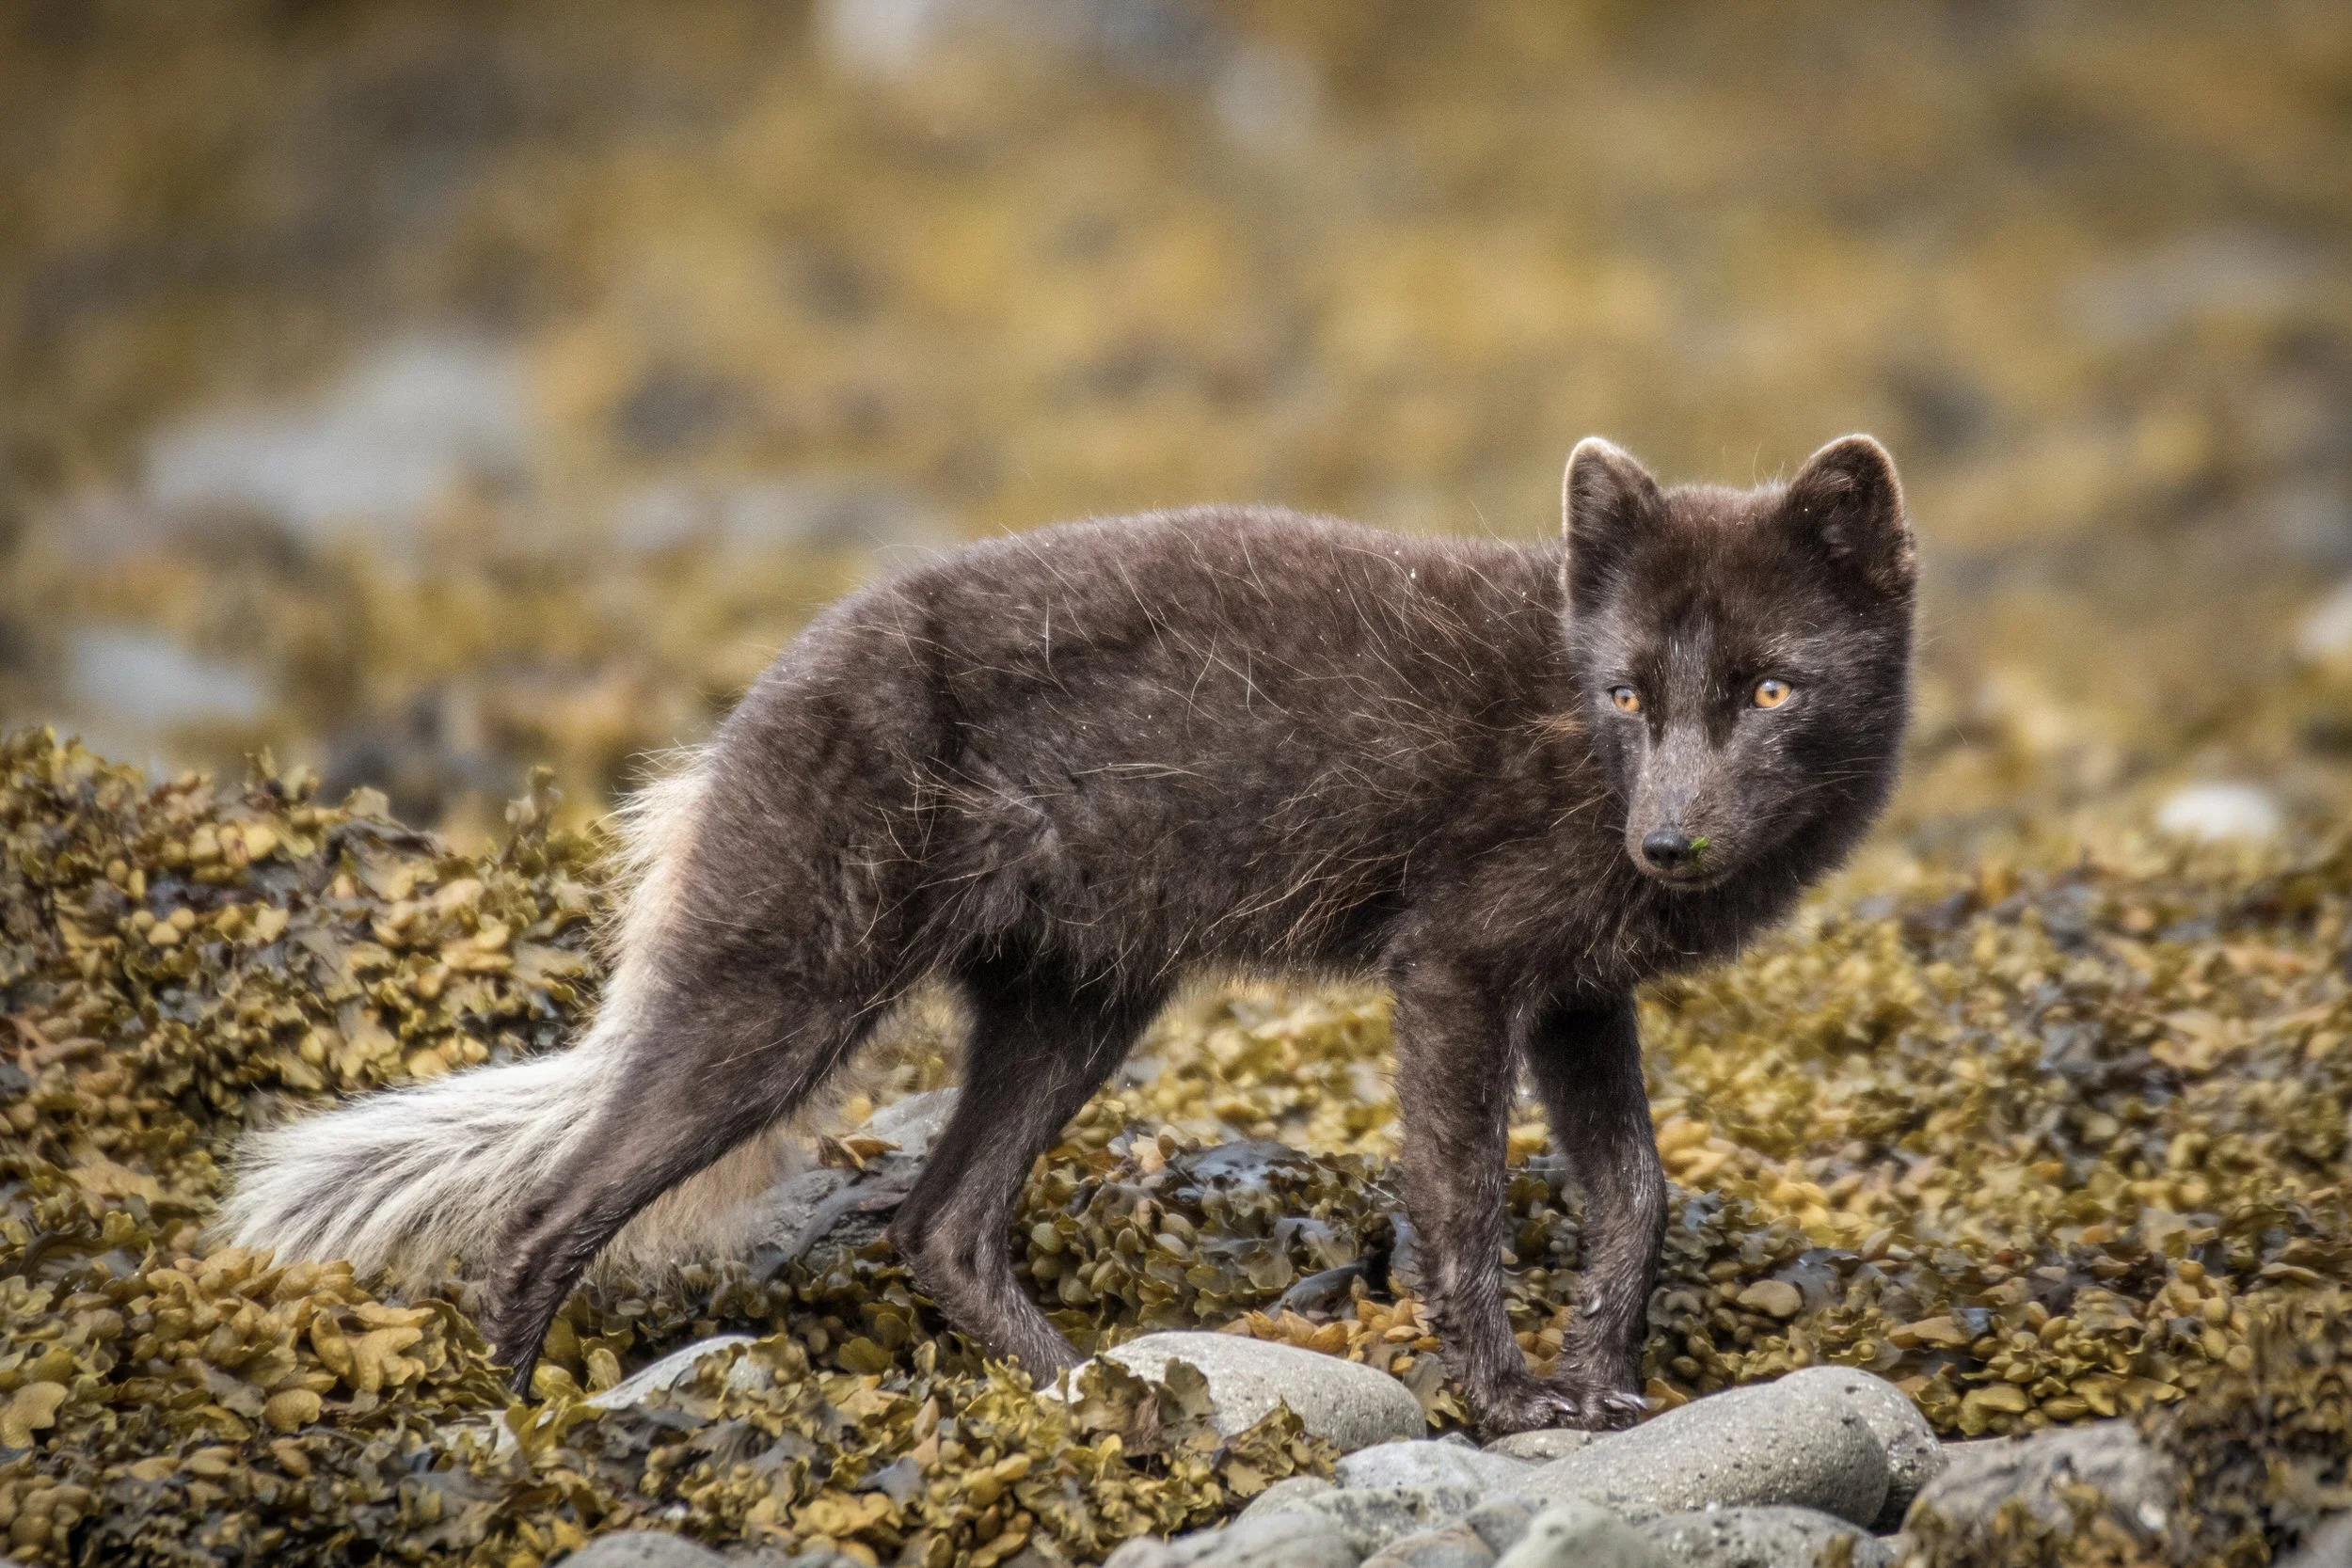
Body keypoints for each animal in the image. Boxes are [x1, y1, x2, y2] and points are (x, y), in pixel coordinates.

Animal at [221, 434, 1915, 1437]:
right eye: (1629, 690)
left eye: (1769, 686)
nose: (1667, 843)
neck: (1573, 729)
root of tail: (745, 714)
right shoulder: (1457, 969)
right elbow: (1462, 1205)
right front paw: (1511, 1403)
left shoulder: (1575, 995)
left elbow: (1637, 1192)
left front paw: (1613, 1379)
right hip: (790, 1002)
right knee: (540, 1213)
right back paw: (521, 1434)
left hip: (1079, 1001)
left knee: (940, 1223)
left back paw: (1103, 1406)